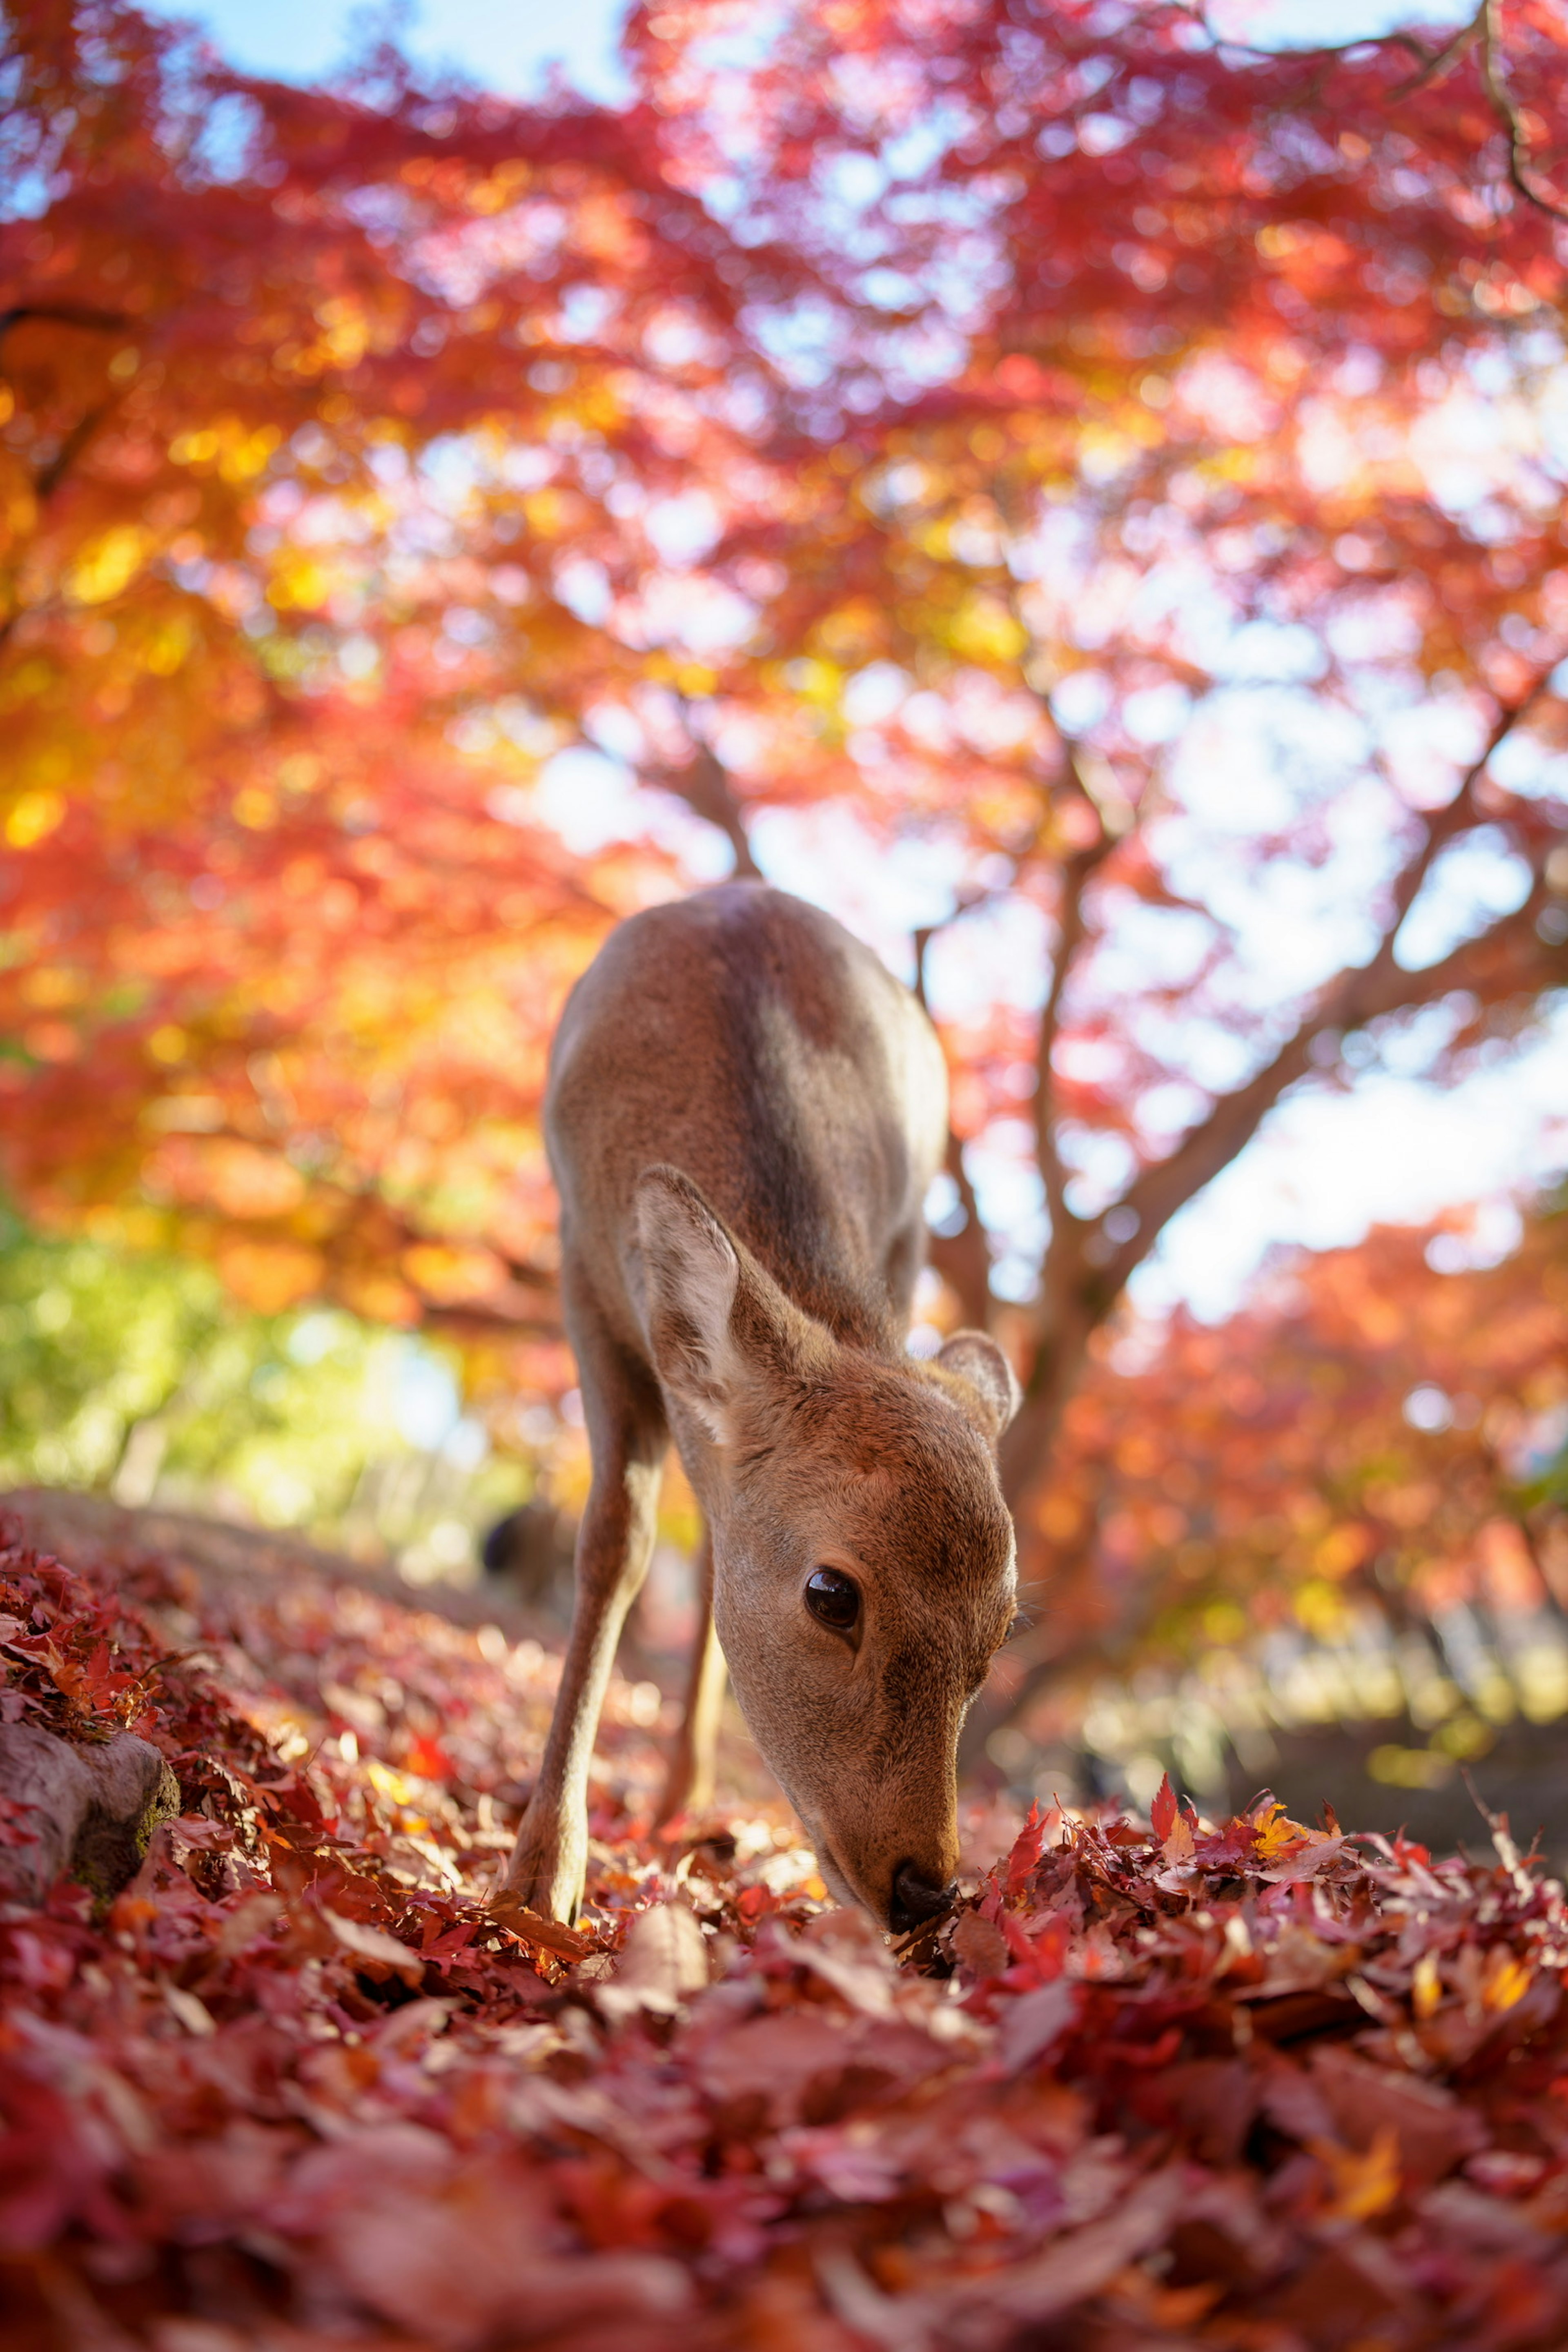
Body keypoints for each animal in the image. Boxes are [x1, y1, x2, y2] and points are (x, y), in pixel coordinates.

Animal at [501, 884, 1020, 1929]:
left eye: (996, 1635)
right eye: (831, 1592)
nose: (926, 1887)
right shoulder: (581, 1270)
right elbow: (614, 1543)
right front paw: (542, 1874)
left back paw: (681, 1798)